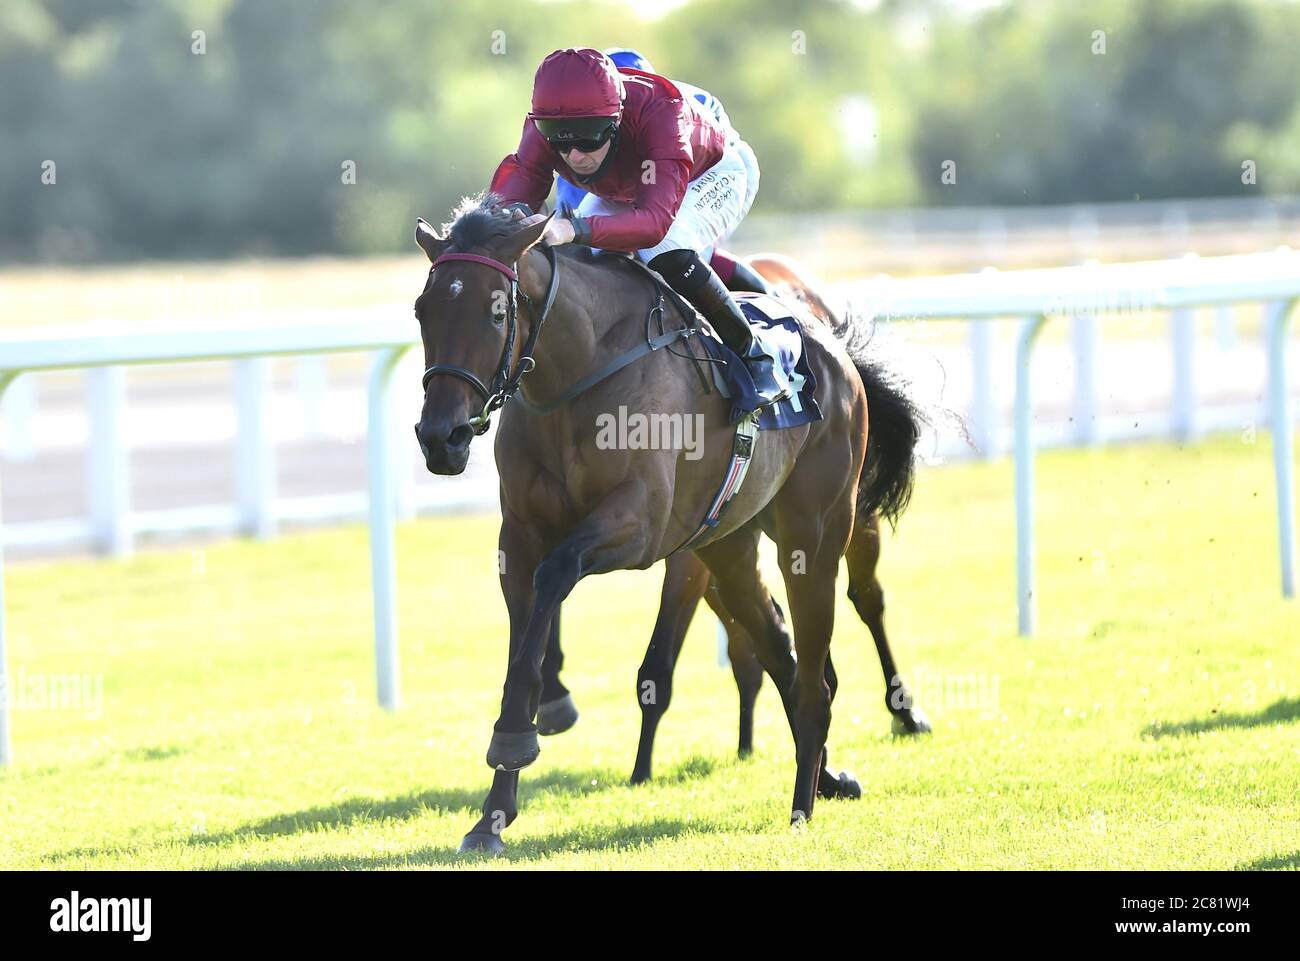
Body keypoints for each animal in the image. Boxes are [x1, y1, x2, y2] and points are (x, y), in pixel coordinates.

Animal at [416, 193, 925, 847]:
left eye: (497, 312)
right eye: (422, 310)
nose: (441, 437)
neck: (577, 374)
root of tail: (834, 348)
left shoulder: (641, 528)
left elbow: (557, 578)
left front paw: (519, 738)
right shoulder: (520, 540)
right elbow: (524, 647)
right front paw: (494, 812)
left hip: (816, 533)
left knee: (832, 647)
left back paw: (812, 796)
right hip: (728, 546)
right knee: (781, 649)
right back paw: (828, 778)